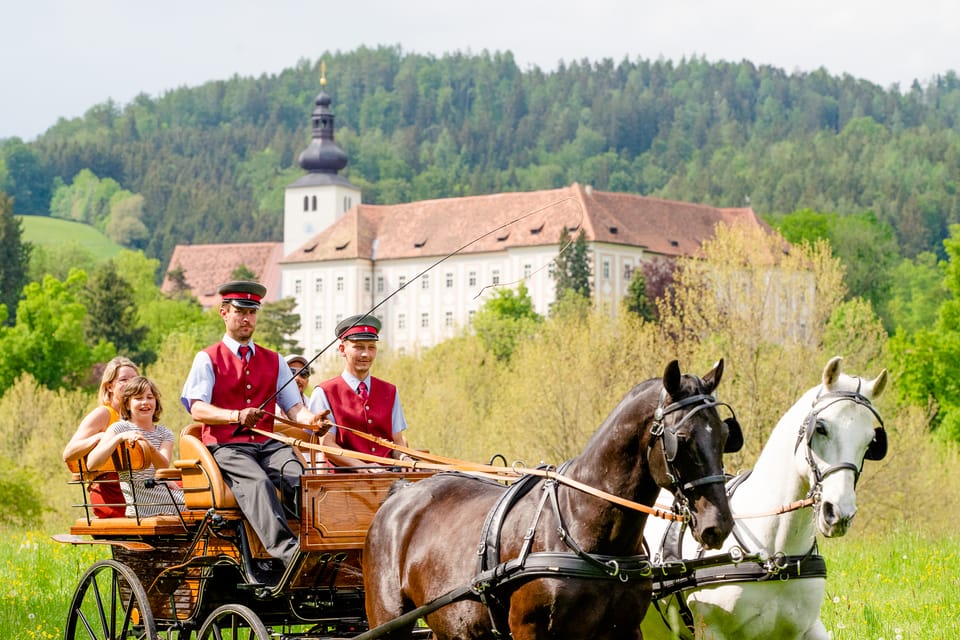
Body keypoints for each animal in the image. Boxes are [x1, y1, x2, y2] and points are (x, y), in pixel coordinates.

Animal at [360, 360, 744, 640]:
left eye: (725, 435)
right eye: (682, 438)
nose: (718, 524)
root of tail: (401, 493)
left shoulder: (625, 629)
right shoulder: (530, 630)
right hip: (388, 621)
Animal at [640, 358, 888, 636]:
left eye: (872, 441)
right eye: (821, 428)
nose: (839, 514)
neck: (774, 555)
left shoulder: (806, 627)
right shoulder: (712, 629)